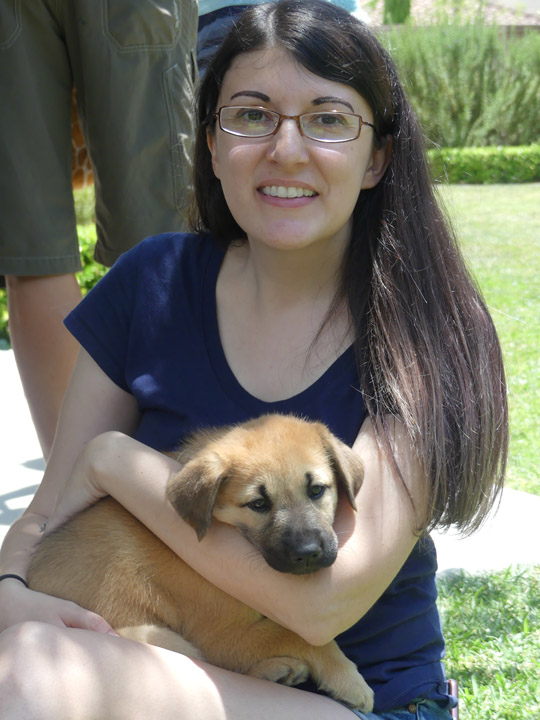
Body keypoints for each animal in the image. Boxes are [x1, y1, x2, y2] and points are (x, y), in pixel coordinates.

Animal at [27, 414, 374, 712]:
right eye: (258, 504)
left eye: (316, 490)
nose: (308, 553)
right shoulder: (221, 636)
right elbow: (293, 635)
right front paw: (349, 679)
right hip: (160, 638)